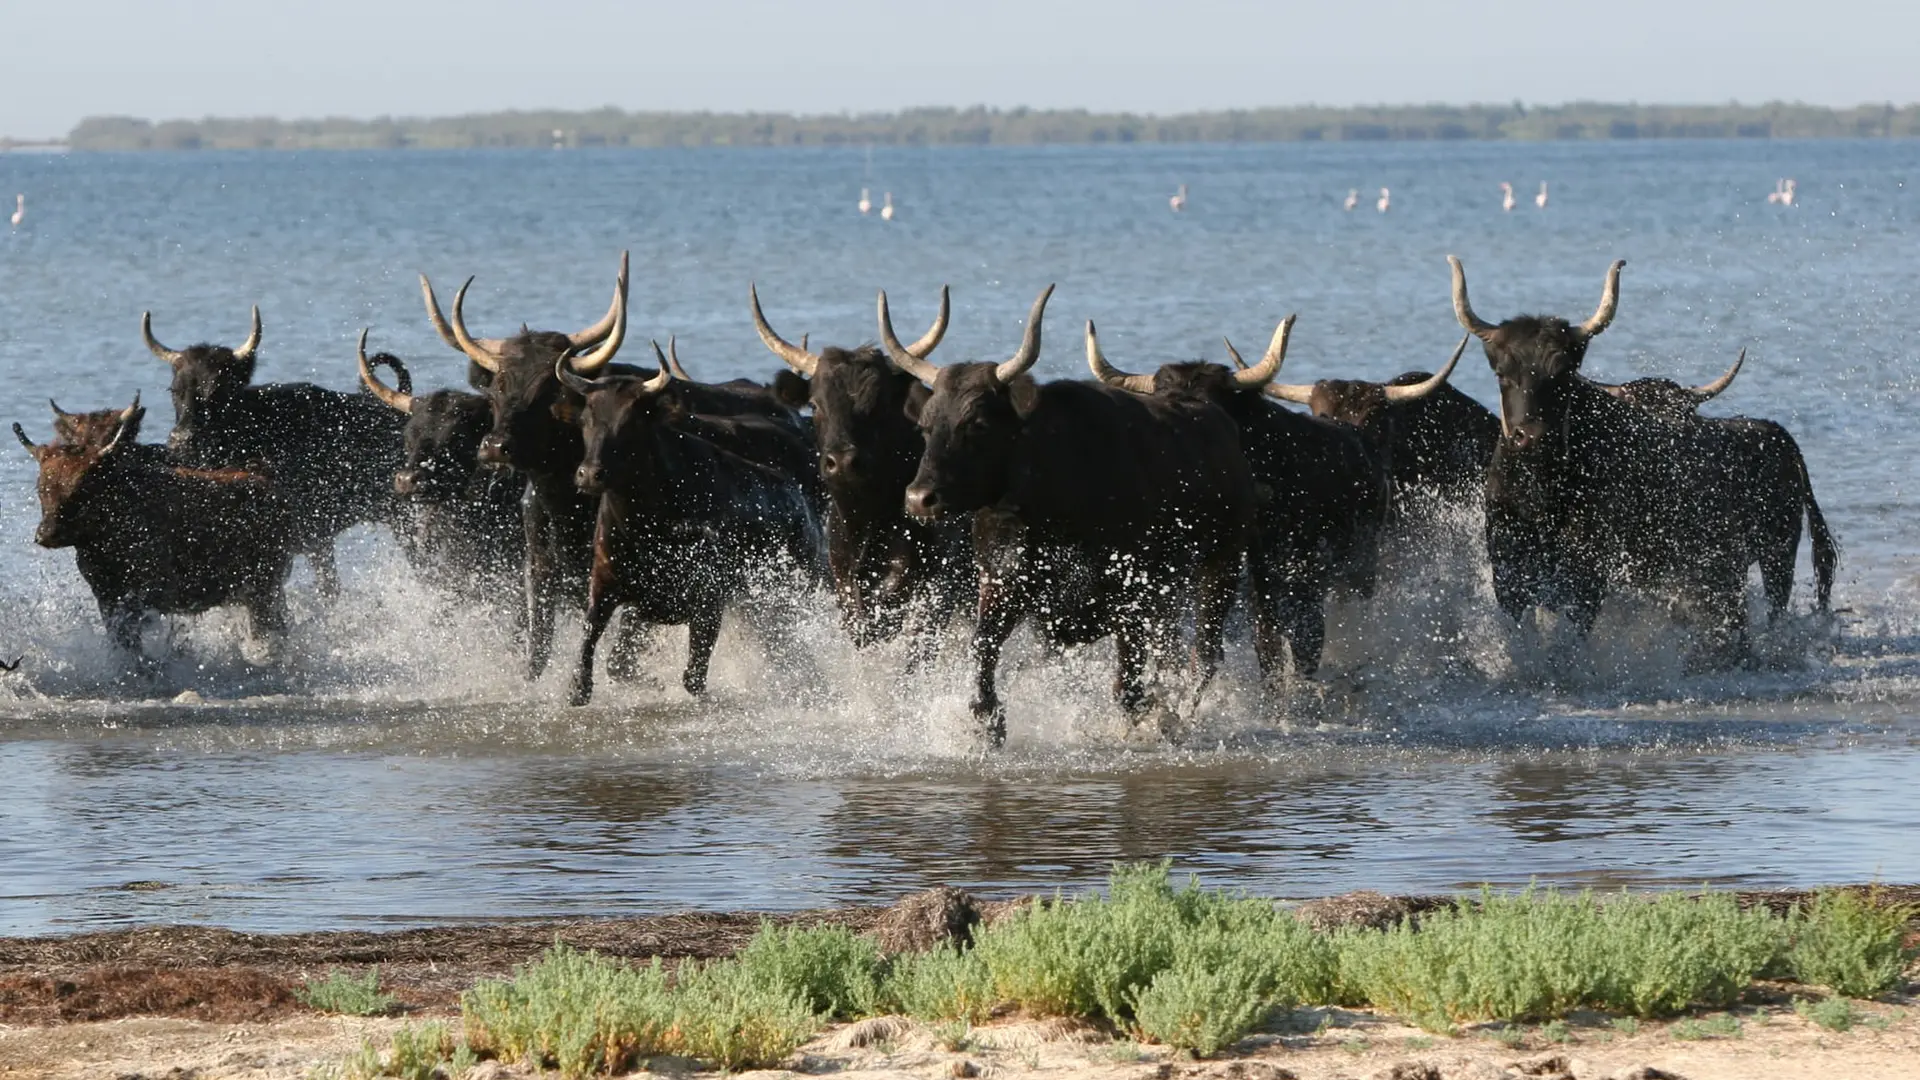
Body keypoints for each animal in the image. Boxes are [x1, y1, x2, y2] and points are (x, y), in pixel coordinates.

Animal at [875, 286, 1259, 737]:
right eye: (925, 426)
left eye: (978, 424)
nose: (920, 498)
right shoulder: (1005, 583)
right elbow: (984, 643)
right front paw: (988, 719)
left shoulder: (1133, 592)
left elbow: (1128, 683)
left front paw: (1153, 716)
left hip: (1221, 565)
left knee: (1204, 653)